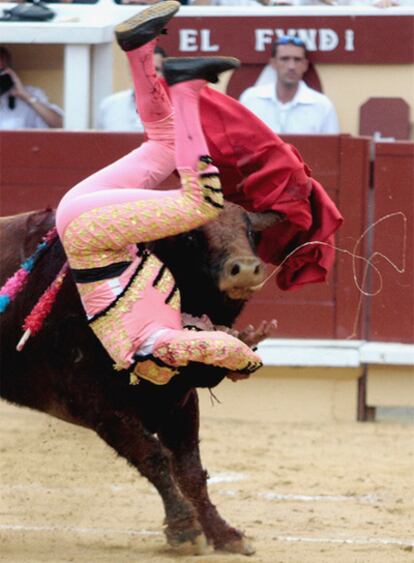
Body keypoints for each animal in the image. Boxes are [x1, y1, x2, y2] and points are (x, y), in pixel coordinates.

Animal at [0, 206, 280, 556]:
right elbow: (153, 456)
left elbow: (190, 471)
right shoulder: (100, 406)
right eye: (189, 236)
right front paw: (185, 530)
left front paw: (224, 533)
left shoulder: (179, 401)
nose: (244, 270)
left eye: (252, 233)